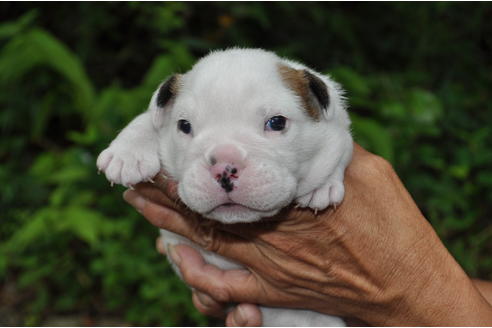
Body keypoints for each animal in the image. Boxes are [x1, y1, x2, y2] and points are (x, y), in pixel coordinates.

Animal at [96, 48, 352, 326]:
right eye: (184, 126)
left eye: (276, 122)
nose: (224, 168)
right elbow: (149, 119)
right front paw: (126, 153)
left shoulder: (339, 128)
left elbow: (342, 148)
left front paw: (323, 185)